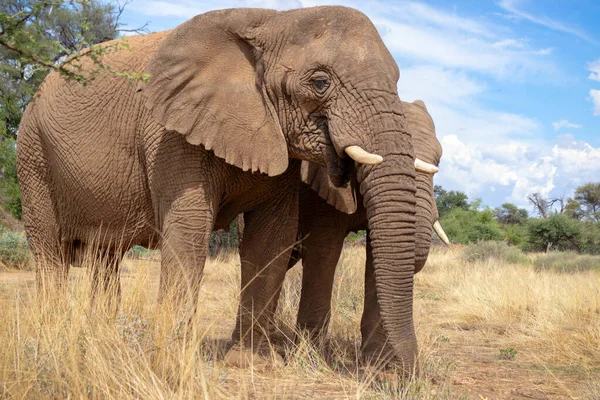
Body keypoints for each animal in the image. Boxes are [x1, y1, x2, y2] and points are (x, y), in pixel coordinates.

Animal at [17, 5, 432, 372]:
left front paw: (251, 364)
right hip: (32, 153)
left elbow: (271, 240)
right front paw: (171, 365)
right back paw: (52, 338)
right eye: (320, 82)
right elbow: (188, 233)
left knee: (105, 257)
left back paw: (103, 338)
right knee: (50, 252)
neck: (275, 20)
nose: (403, 373)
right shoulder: (170, 133)